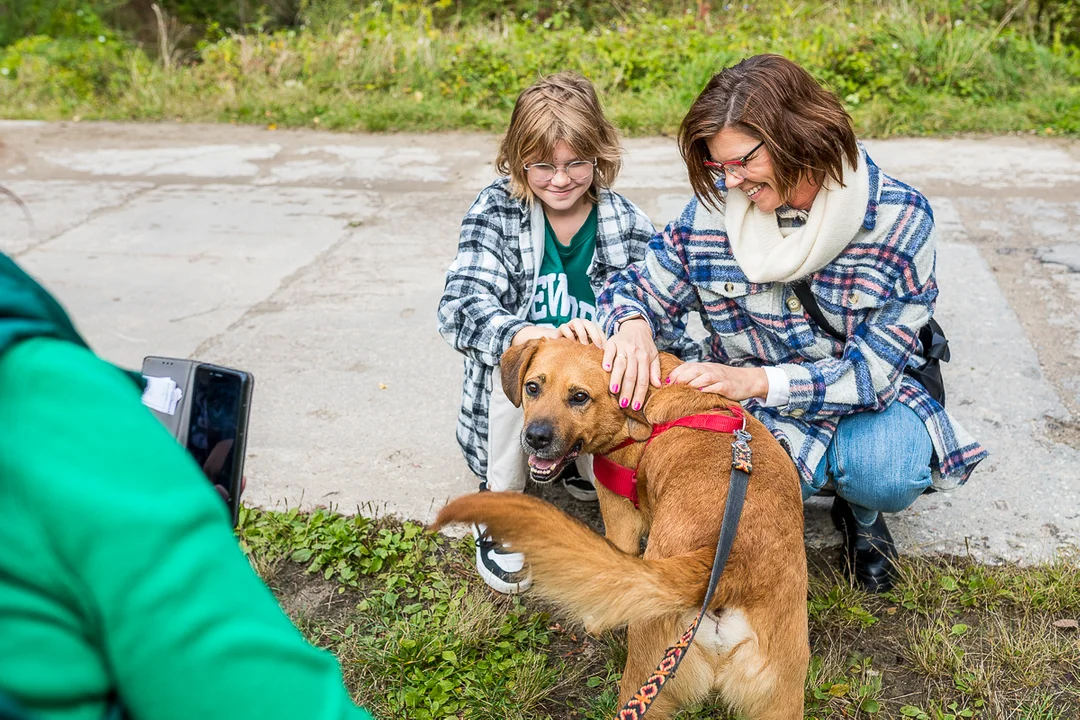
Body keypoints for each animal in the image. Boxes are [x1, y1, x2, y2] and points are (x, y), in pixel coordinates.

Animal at [434, 338, 807, 720]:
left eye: (579, 397)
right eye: (533, 388)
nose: (535, 437)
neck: (643, 408)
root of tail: (728, 565)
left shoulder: (621, 525)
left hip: (644, 676)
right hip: (781, 704)